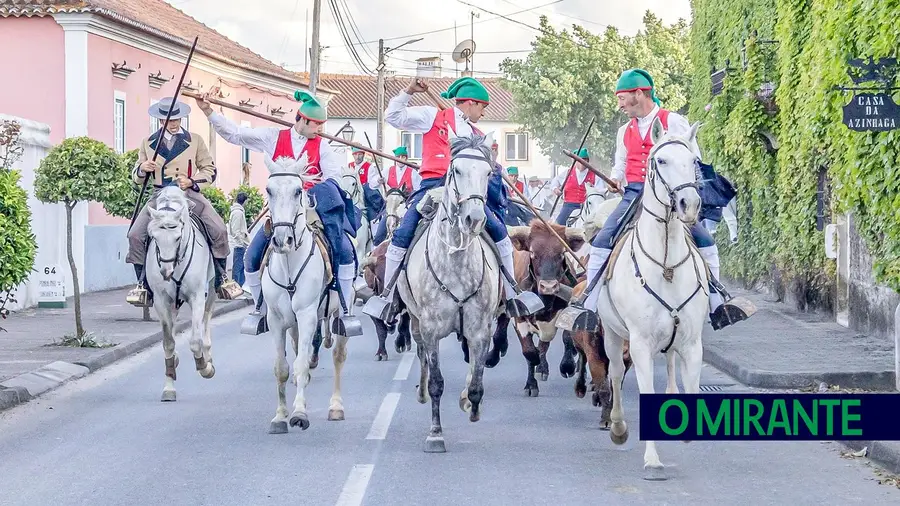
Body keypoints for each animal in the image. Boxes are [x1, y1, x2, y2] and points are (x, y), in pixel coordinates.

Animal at [148, 184, 220, 402]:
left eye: (177, 237)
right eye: (154, 237)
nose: (165, 271)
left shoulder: (197, 297)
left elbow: (195, 341)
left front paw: (205, 367)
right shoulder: (161, 301)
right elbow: (168, 343)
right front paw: (169, 387)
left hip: (211, 291)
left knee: (206, 320)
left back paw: (208, 356)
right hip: (173, 302)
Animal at [260, 154, 352, 434]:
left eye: (298, 190)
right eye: (269, 190)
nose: (282, 240)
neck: (290, 263)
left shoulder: (308, 315)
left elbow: (300, 364)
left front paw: (299, 413)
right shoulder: (277, 320)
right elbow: (282, 367)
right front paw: (280, 416)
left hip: (340, 315)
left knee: (337, 357)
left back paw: (336, 407)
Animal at [398, 132, 502, 452]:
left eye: (488, 173)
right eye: (456, 171)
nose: (474, 219)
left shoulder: (480, 328)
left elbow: (478, 379)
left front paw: (472, 404)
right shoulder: (430, 329)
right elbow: (436, 382)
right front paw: (435, 433)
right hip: (415, 319)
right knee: (421, 354)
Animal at [596, 116, 712, 480]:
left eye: (693, 160)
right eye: (660, 161)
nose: (689, 205)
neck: (665, 264)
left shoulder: (692, 343)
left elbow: (692, 386)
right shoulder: (640, 344)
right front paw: (652, 460)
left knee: (670, 365)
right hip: (612, 335)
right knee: (615, 373)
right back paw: (618, 427)